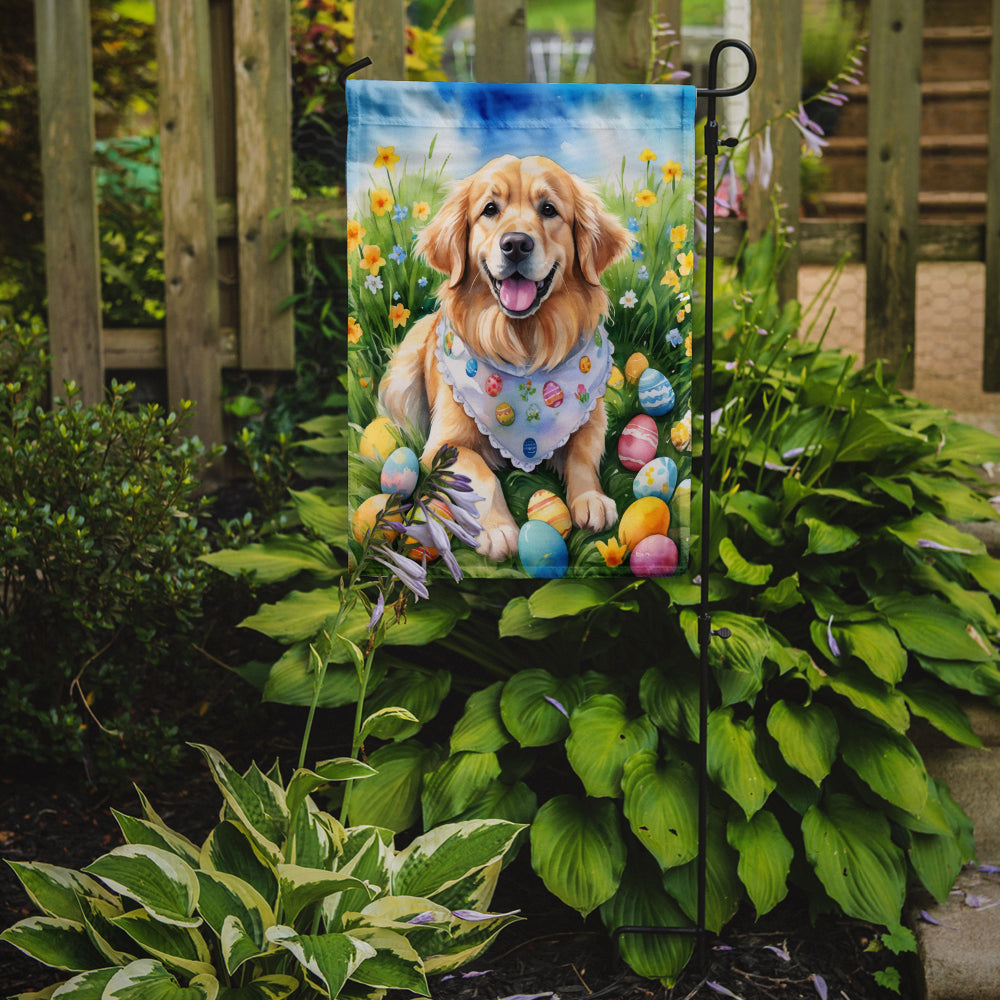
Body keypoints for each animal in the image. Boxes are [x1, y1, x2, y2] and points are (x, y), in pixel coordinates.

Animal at [378, 156, 628, 564]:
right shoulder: (443, 445)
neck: (523, 348)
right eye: (490, 209)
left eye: (549, 209)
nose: (516, 245)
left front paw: (591, 498)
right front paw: (497, 529)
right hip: (402, 378)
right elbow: (482, 473)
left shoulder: (590, 419)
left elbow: (583, 454)